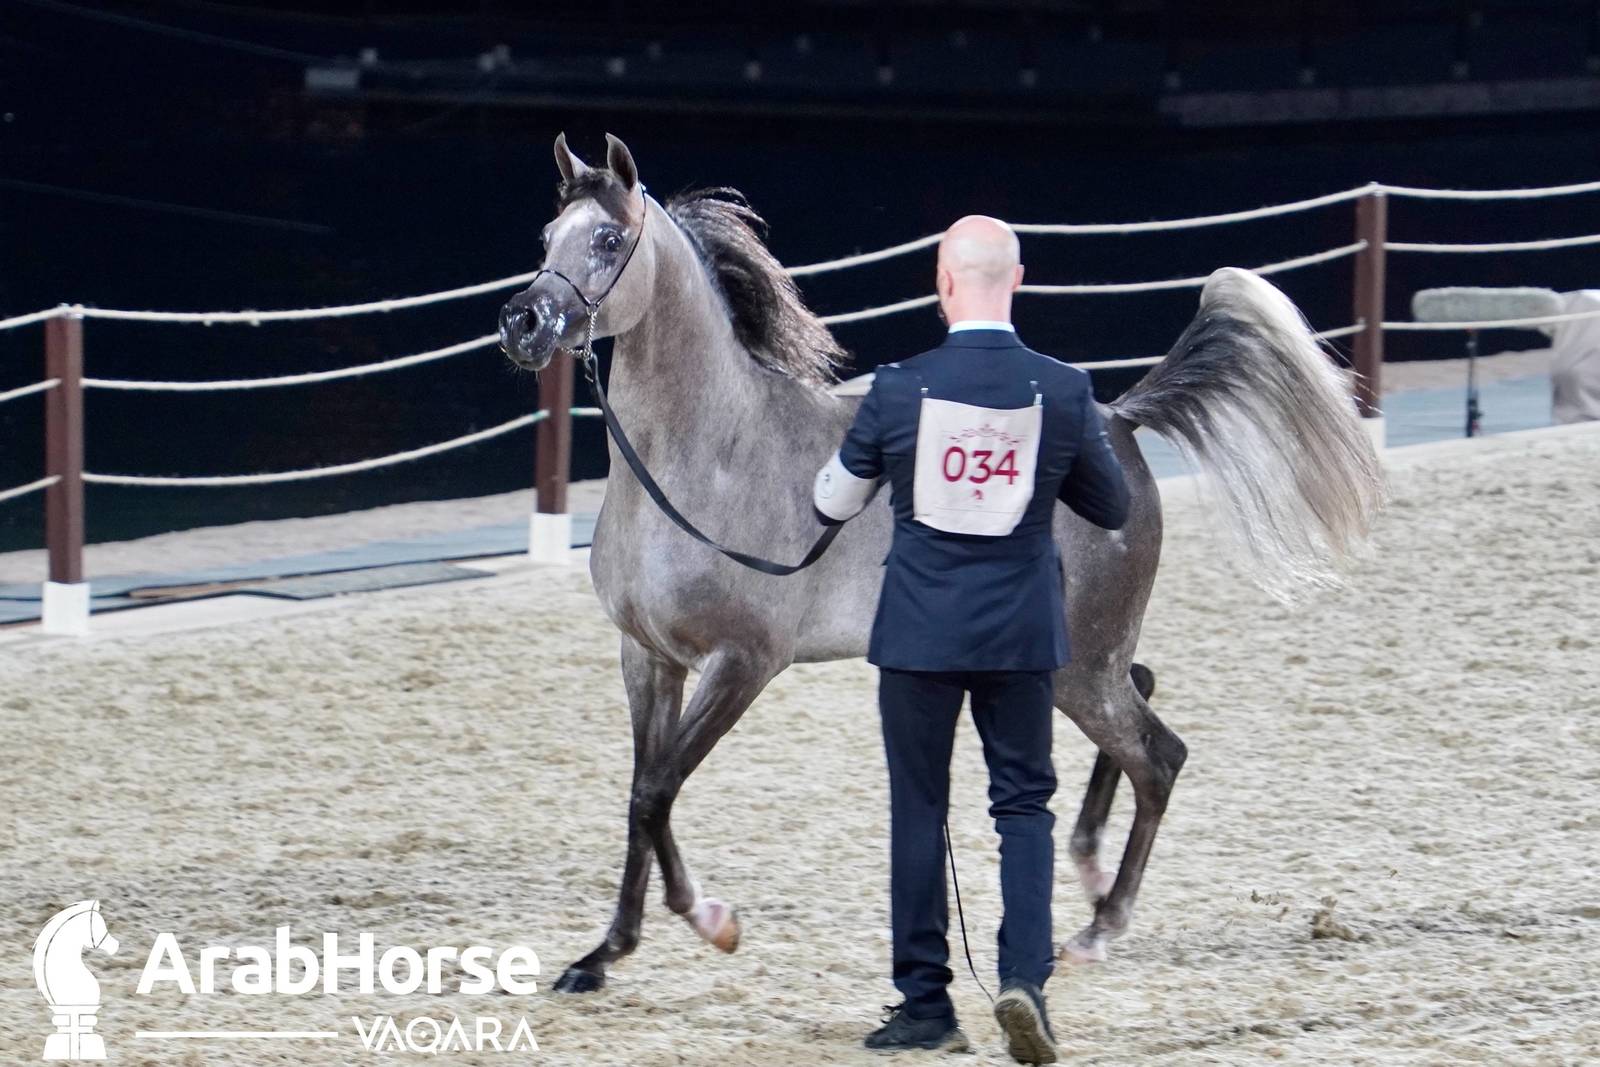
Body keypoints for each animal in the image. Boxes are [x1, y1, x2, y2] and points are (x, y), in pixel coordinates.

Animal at [498, 133, 1382, 994]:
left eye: (607, 239)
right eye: (546, 237)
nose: (522, 322)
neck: (703, 459)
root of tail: (1120, 423)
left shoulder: (742, 661)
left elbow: (659, 789)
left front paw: (711, 920)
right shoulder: (648, 657)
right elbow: (643, 792)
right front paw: (602, 954)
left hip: (1081, 670)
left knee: (1160, 756)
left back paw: (1097, 929)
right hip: (1074, 658)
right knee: (1145, 692)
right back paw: (1090, 868)